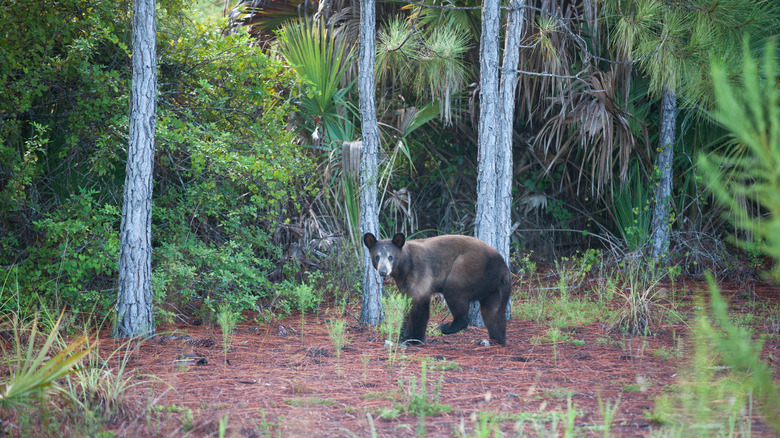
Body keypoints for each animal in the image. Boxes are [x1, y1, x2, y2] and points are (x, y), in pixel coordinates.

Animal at [362, 233, 508, 346]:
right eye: (377, 256)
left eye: (390, 257)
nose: (383, 271)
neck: (405, 266)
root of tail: (502, 266)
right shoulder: (404, 283)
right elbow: (408, 305)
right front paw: (403, 335)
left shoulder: (420, 271)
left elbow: (419, 305)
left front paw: (415, 338)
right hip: (493, 287)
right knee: (493, 312)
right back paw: (497, 339)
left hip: (469, 267)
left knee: (454, 291)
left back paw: (447, 327)